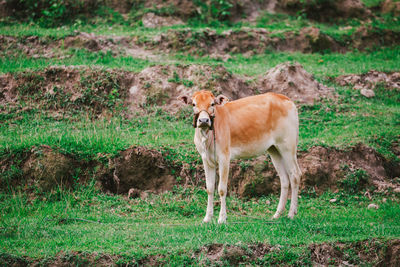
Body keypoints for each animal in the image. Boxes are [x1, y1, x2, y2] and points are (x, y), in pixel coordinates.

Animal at [180, 90, 302, 224]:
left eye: (212, 104)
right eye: (194, 104)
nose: (203, 120)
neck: (207, 137)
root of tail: (285, 98)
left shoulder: (224, 157)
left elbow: (222, 189)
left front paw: (222, 218)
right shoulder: (206, 159)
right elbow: (210, 188)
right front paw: (207, 218)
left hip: (288, 146)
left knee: (295, 175)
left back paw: (291, 213)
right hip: (274, 149)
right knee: (284, 179)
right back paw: (277, 214)